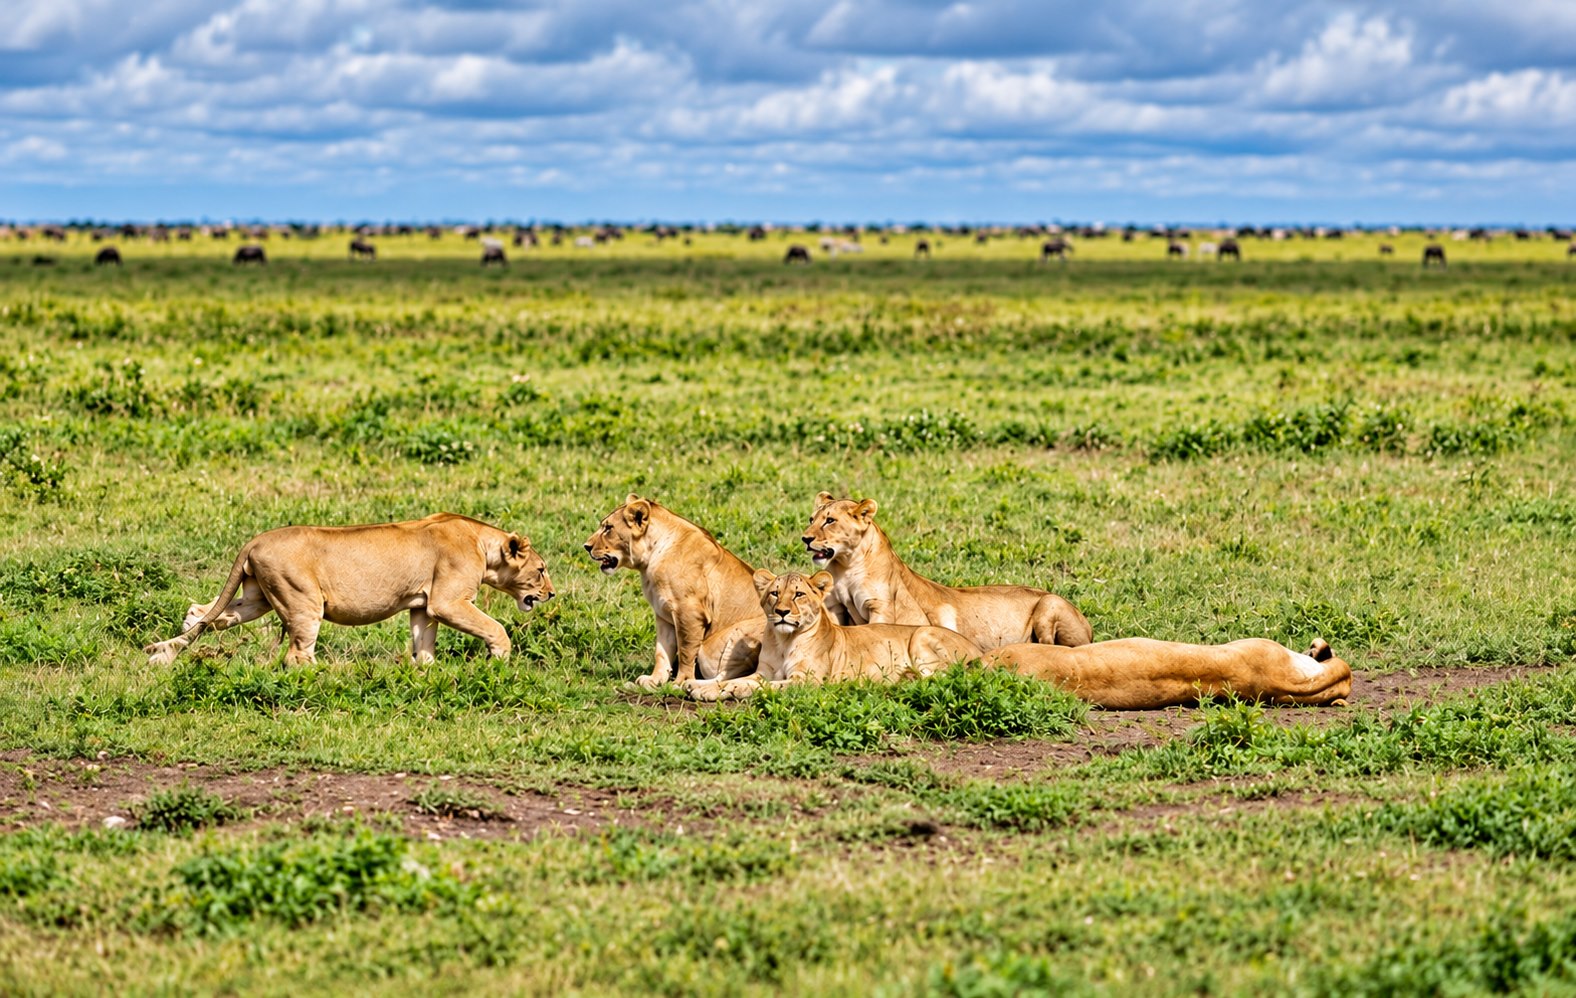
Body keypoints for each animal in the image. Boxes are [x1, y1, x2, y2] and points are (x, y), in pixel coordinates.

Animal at [145, 513, 552, 667]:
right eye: (541, 570)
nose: (551, 594)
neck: (482, 544)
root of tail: (254, 541)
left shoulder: (422, 605)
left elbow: (423, 643)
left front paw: (425, 673)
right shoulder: (447, 601)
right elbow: (494, 627)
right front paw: (499, 660)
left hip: (259, 597)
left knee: (203, 613)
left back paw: (165, 651)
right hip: (303, 600)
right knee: (297, 655)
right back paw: (328, 676)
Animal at [585, 494, 761, 689]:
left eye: (608, 528)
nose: (586, 546)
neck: (650, 560)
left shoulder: (690, 613)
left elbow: (685, 651)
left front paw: (679, 682)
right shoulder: (664, 615)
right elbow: (662, 652)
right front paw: (655, 680)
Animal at [689, 570, 981, 701]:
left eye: (798, 594)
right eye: (774, 593)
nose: (782, 612)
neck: (784, 641)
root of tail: (978, 649)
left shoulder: (806, 681)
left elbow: (763, 686)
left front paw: (730, 689)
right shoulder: (764, 671)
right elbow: (743, 680)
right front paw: (701, 687)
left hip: (922, 634)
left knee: (939, 679)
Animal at [802, 492, 1092, 648]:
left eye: (830, 521)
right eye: (811, 519)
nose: (805, 538)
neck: (846, 565)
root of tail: (1090, 627)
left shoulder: (880, 607)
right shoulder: (836, 607)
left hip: (1050, 604)